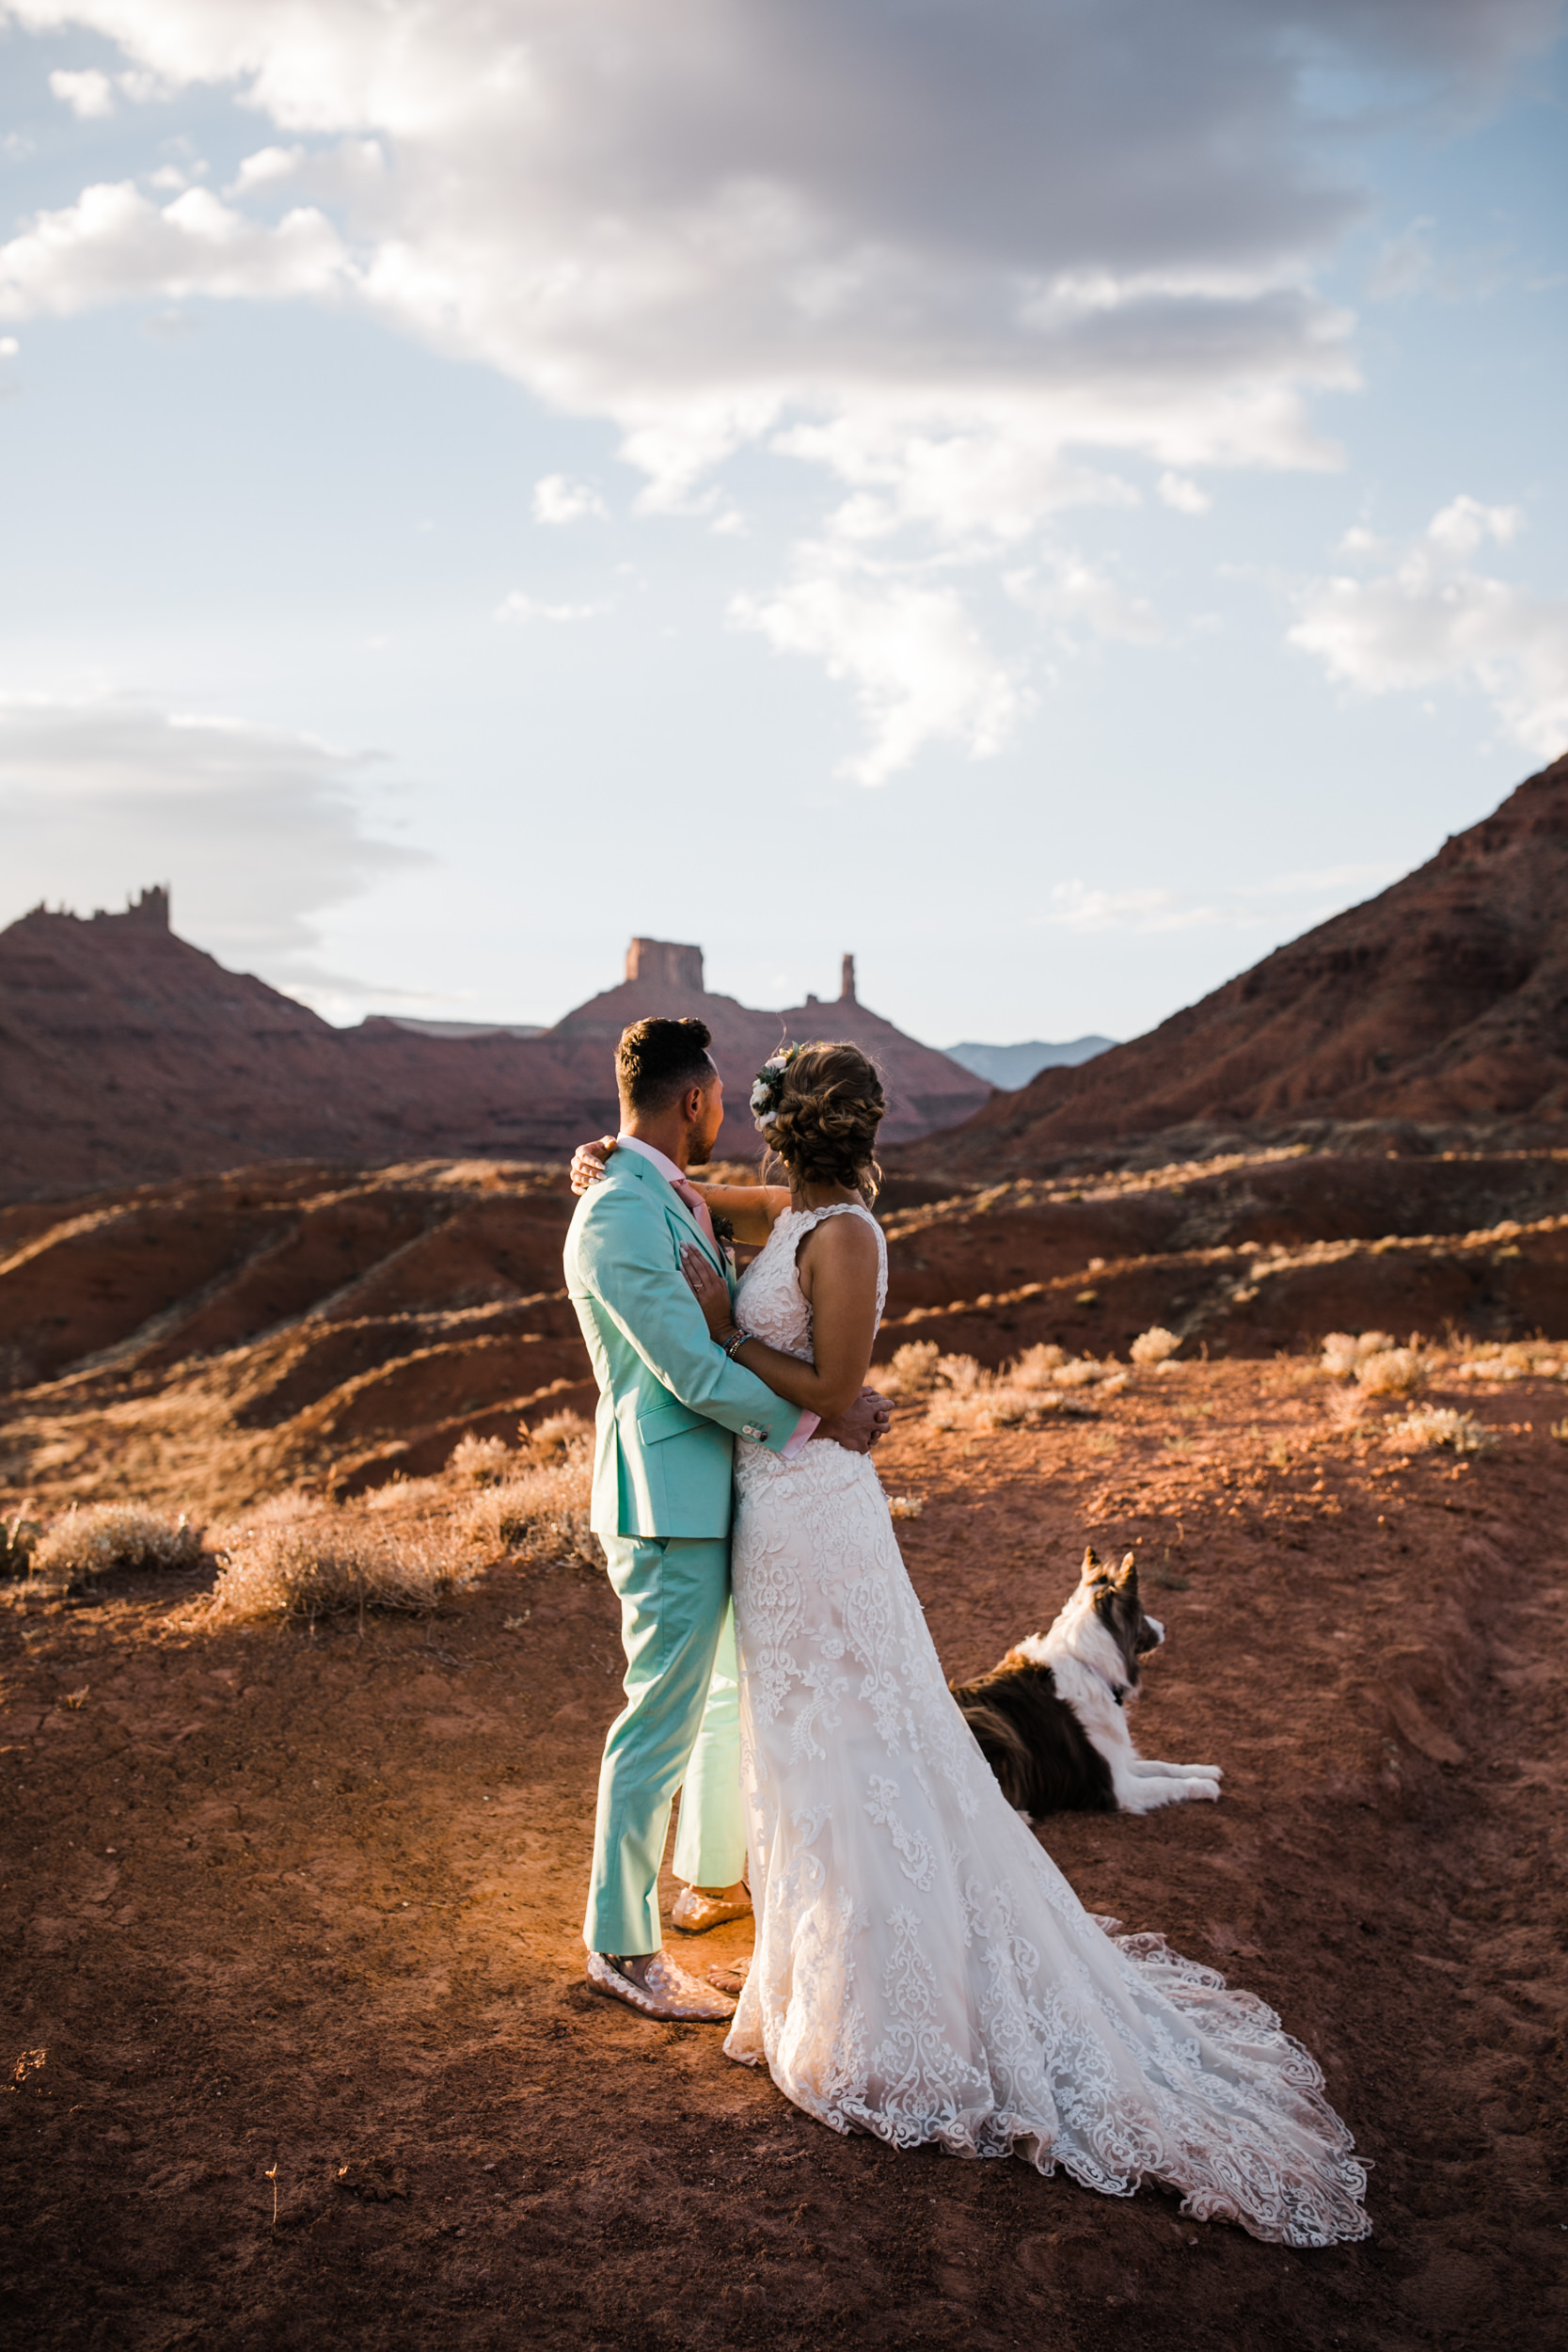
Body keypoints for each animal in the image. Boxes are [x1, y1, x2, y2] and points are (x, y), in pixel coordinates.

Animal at [944, 1562, 1222, 1816]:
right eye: (1142, 1613)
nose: (1165, 1627)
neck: (1087, 1664)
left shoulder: (1116, 1759)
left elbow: (1162, 1765)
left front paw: (1205, 1770)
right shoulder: (1119, 1787)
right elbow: (1164, 1783)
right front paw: (1205, 1786)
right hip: (992, 1723)